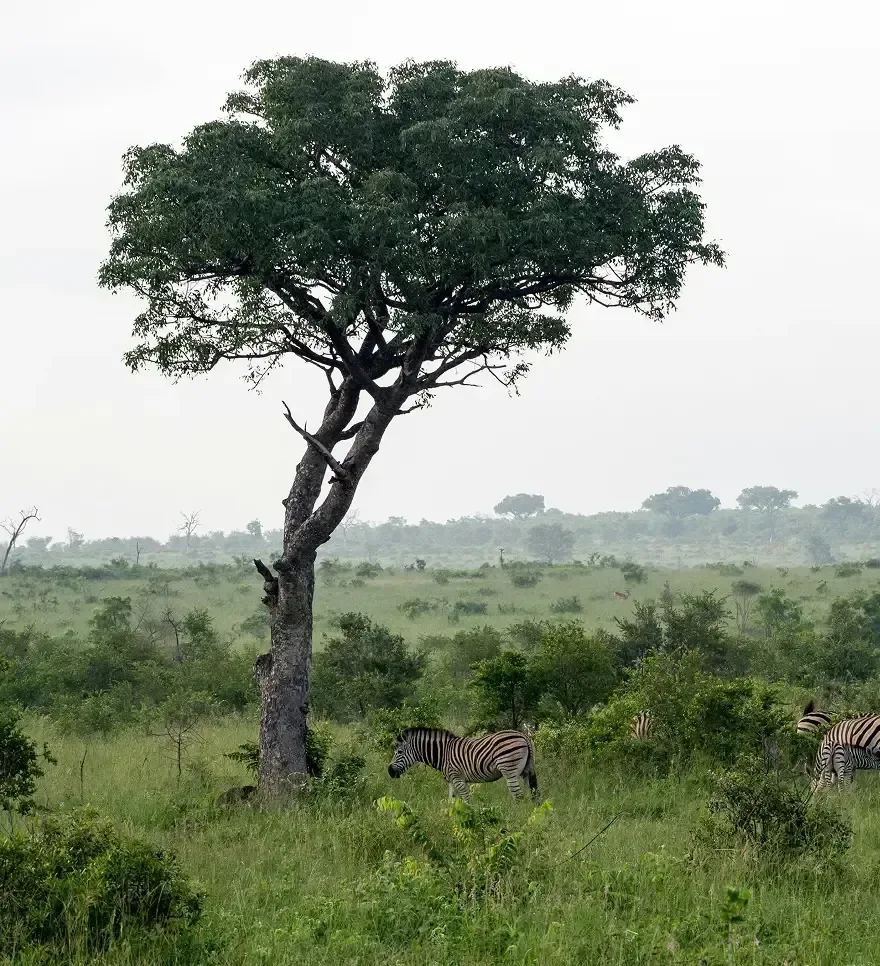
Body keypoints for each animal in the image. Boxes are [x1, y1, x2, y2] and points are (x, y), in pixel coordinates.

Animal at [387, 727, 538, 802]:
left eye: (399, 752)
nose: (390, 772)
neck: (443, 753)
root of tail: (524, 736)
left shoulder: (458, 778)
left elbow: (466, 799)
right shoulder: (451, 780)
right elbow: (452, 801)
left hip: (509, 770)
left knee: (518, 795)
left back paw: (515, 816)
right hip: (525, 771)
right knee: (530, 793)